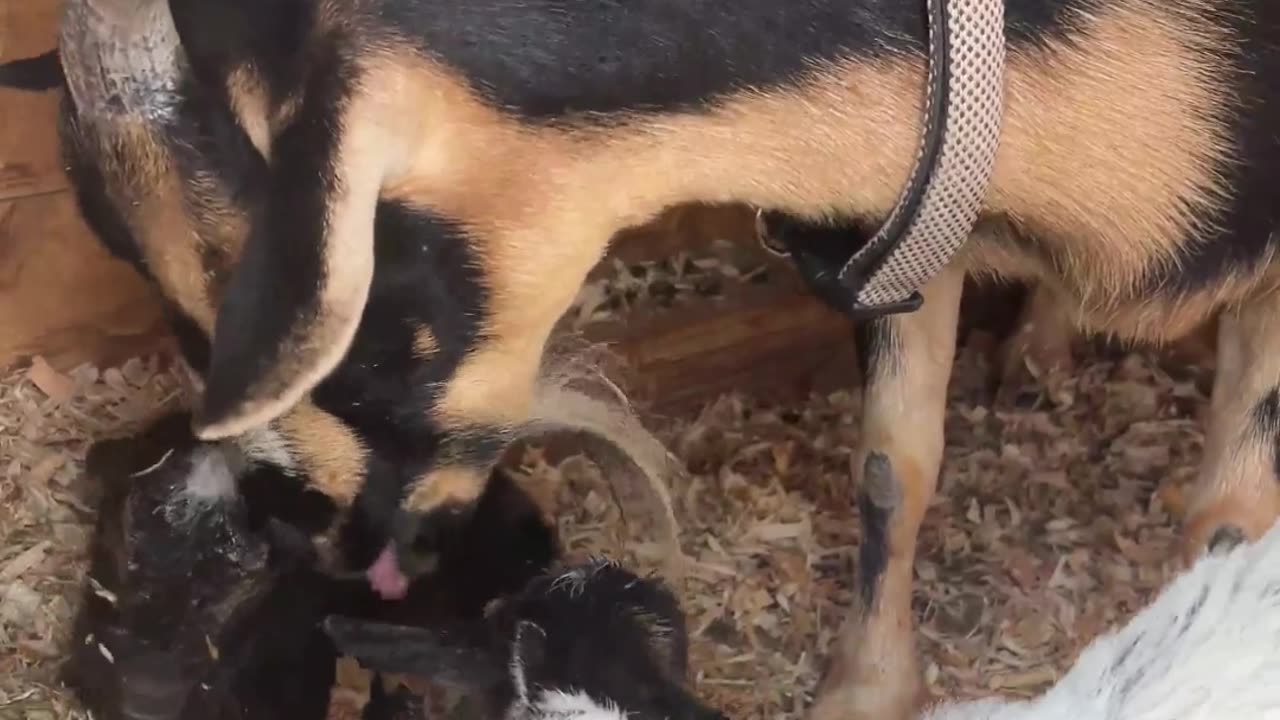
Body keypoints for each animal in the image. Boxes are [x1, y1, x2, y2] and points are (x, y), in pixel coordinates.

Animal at [20, 0, 1280, 712]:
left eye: (361, 315)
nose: (345, 545)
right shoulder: (912, 215)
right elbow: (889, 465)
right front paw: (864, 692)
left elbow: (1227, 522)